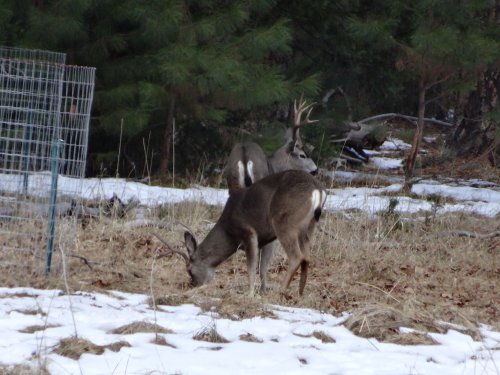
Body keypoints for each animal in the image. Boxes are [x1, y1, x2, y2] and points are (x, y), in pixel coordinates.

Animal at [162, 170, 328, 296]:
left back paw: (280, 291)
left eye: (189, 271)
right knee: (307, 257)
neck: (228, 230)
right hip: (307, 227)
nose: (194, 285)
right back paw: (300, 293)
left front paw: (250, 294)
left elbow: (251, 267)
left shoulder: (248, 232)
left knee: (297, 256)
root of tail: (317, 190)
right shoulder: (268, 239)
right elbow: (263, 269)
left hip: (284, 221)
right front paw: (261, 292)